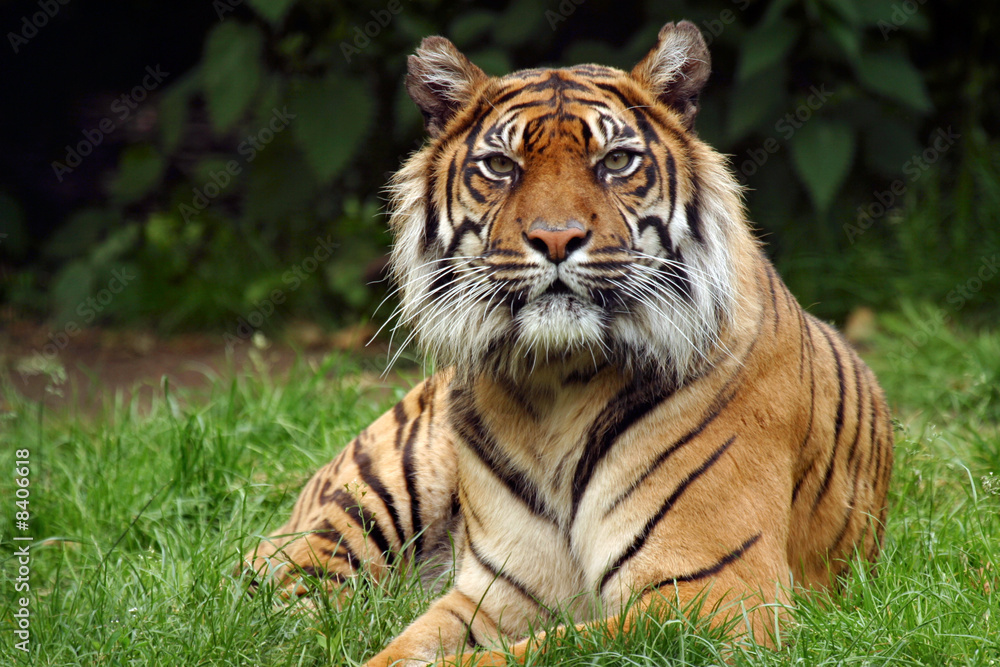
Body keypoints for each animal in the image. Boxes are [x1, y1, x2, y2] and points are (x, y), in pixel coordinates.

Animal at [240, 20, 892, 667]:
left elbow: (533, 653)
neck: (556, 385)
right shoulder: (495, 592)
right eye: (501, 166)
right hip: (377, 487)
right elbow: (401, 651)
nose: (556, 239)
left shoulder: (714, 598)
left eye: (617, 161)